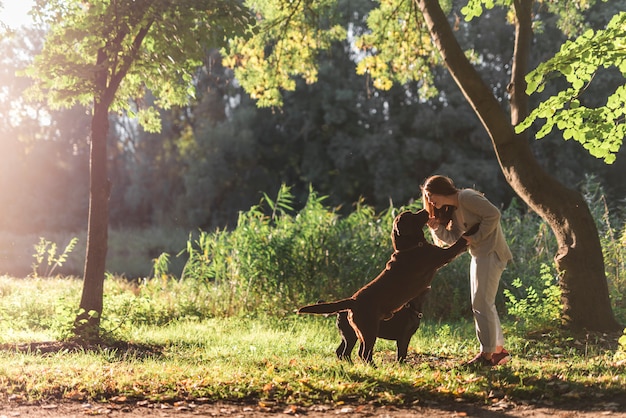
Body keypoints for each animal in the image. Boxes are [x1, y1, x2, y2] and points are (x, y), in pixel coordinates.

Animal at [298, 209, 472, 362]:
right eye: (411, 215)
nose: (424, 210)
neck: (411, 246)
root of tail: (352, 301)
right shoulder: (442, 255)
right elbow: (460, 242)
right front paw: (473, 228)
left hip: (358, 333)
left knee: (349, 352)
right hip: (369, 330)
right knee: (363, 353)